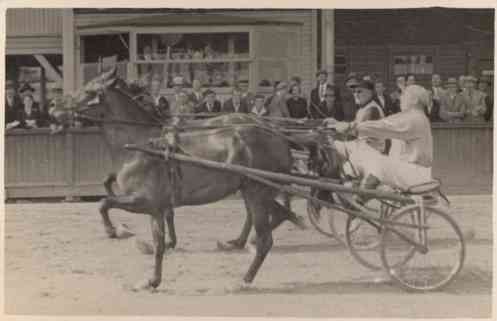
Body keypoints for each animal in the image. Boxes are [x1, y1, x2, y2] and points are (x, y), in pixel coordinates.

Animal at [54, 67, 310, 288]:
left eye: (89, 91)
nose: (54, 109)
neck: (142, 145)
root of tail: (278, 136)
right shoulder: (155, 208)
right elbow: (157, 242)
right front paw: (153, 279)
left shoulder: (143, 201)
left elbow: (104, 203)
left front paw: (114, 231)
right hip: (252, 190)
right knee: (275, 215)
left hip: (257, 191)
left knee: (266, 237)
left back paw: (244, 278)